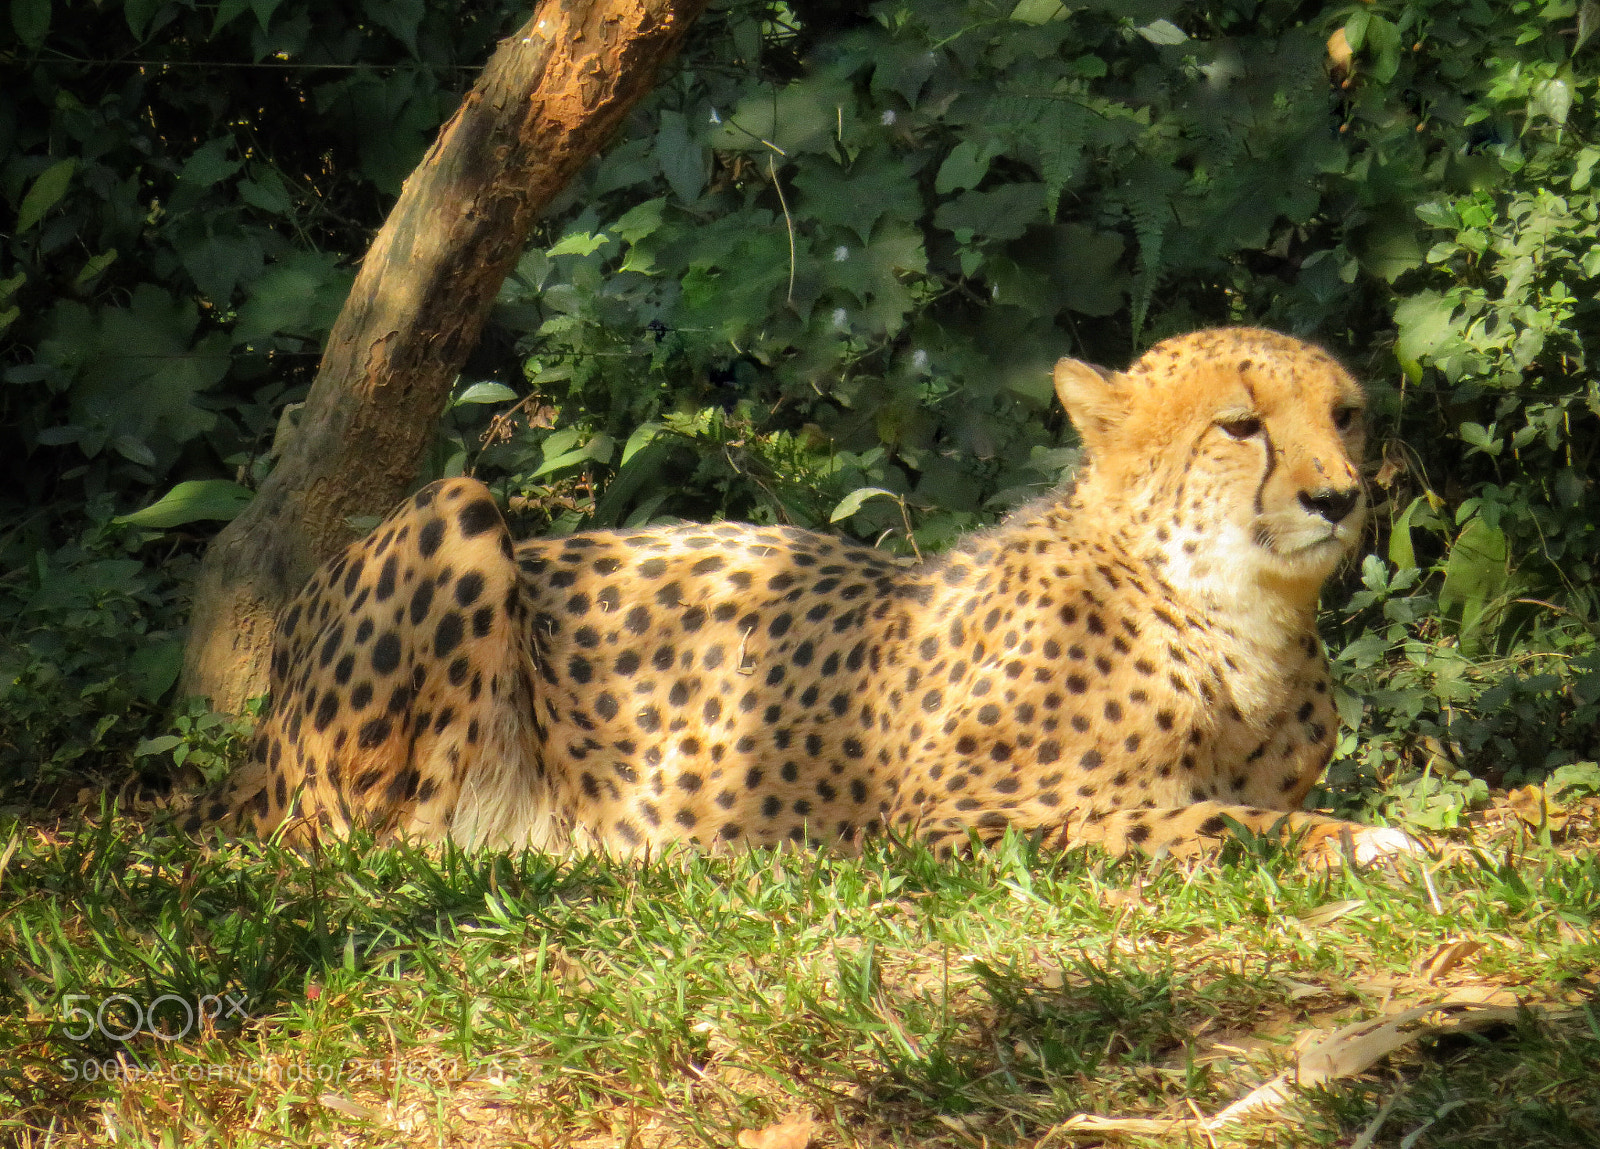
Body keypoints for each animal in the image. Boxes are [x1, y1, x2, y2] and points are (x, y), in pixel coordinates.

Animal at [183, 326, 1420, 867]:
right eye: (1240, 425)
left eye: (1346, 414)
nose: (1338, 495)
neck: (1234, 616)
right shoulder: (955, 820)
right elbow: (1215, 818)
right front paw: (1388, 844)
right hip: (457, 506)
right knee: (379, 844)